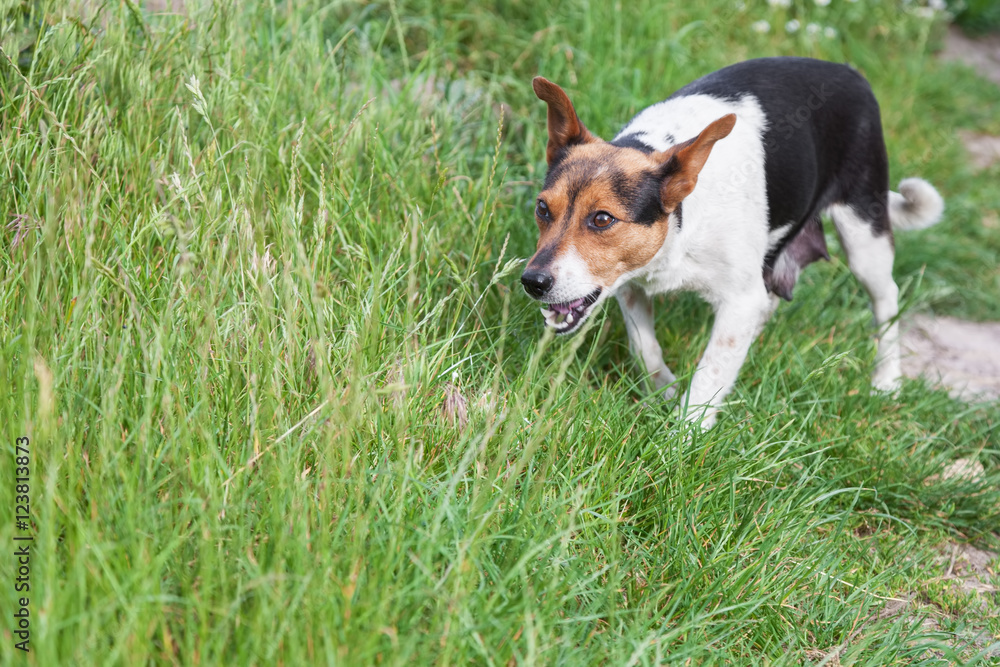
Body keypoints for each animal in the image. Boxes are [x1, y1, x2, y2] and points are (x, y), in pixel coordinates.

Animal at [524, 60, 944, 430]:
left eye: (602, 219)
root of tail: (850, 71)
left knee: (887, 299)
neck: (681, 223)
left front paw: (683, 438)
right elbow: (645, 348)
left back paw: (887, 380)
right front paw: (666, 392)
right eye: (542, 208)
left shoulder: (739, 300)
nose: (533, 282)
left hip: (863, 233)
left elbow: (709, 371)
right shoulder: (629, 283)